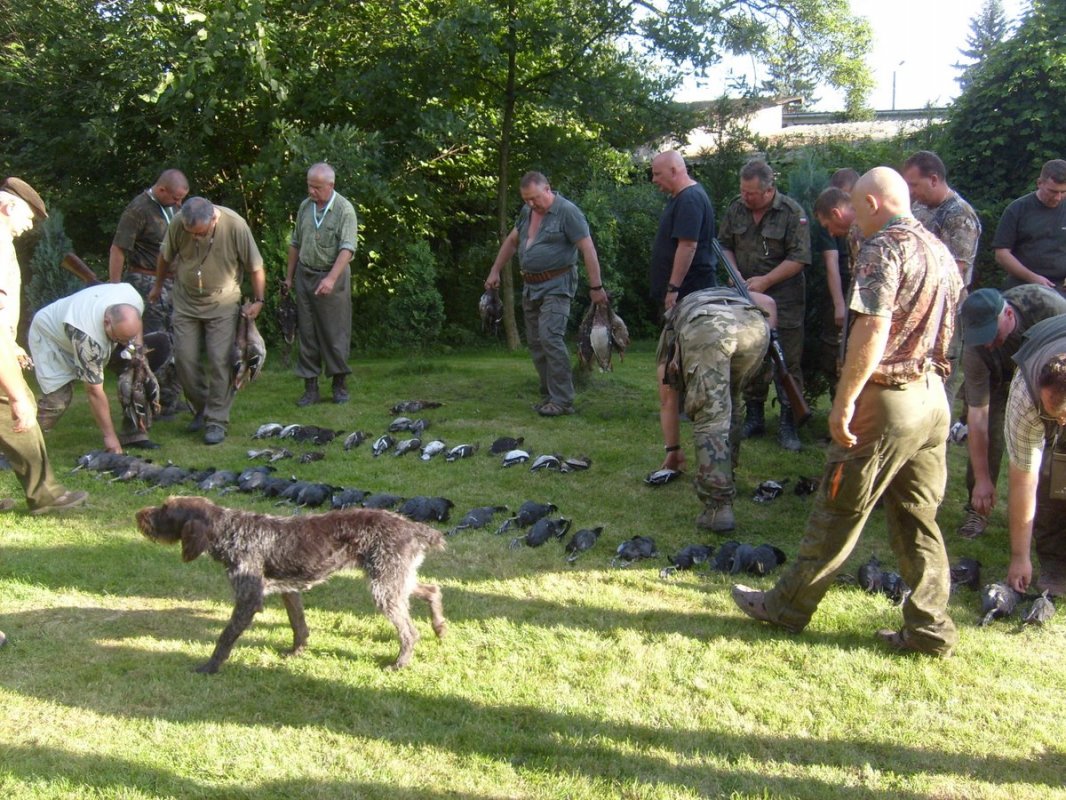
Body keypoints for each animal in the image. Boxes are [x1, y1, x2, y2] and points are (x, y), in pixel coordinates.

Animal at [136, 495, 446, 673]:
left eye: (165, 509)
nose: (138, 515)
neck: (229, 530)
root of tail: (413, 528)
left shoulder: (248, 599)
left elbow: (225, 636)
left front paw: (211, 666)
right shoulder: (290, 591)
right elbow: (298, 624)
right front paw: (297, 652)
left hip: (384, 586)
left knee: (409, 631)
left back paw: (400, 663)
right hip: (394, 579)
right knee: (432, 589)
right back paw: (440, 627)